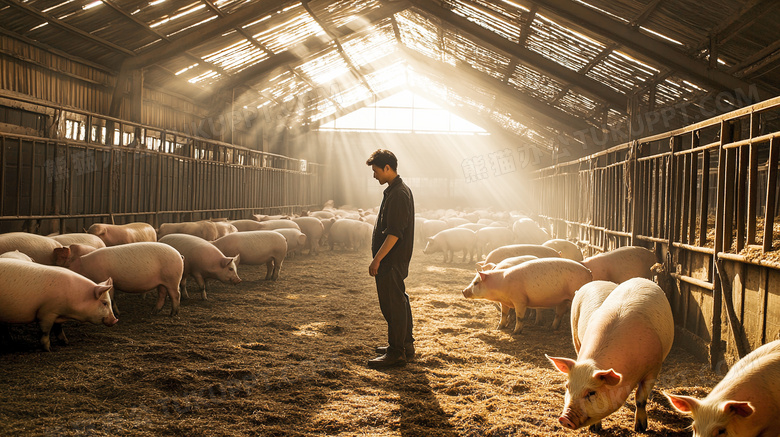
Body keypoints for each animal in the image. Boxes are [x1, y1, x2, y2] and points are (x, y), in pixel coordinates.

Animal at [53, 242, 184, 316]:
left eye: (68, 264)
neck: (85, 265)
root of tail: (179, 255)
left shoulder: (104, 278)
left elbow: (110, 297)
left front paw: (118, 313)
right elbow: (112, 297)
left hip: (173, 279)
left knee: (176, 294)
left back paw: (173, 314)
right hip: (162, 281)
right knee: (162, 294)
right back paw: (154, 311)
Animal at [464, 258, 592, 332]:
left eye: (476, 282)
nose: (463, 291)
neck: (501, 284)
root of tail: (588, 272)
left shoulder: (520, 300)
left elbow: (519, 317)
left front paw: (515, 332)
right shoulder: (504, 302)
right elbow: (503, 314)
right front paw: (499, 328)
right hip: (563, 300)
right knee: (558, 314)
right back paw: (551, 328)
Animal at [544, 278, 672, 430]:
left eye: (591, 392)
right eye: (567, 387)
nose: (564, 419)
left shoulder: (654, 366)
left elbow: (640, 399)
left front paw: (640, 428)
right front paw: (595, 429)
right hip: (575, 335)